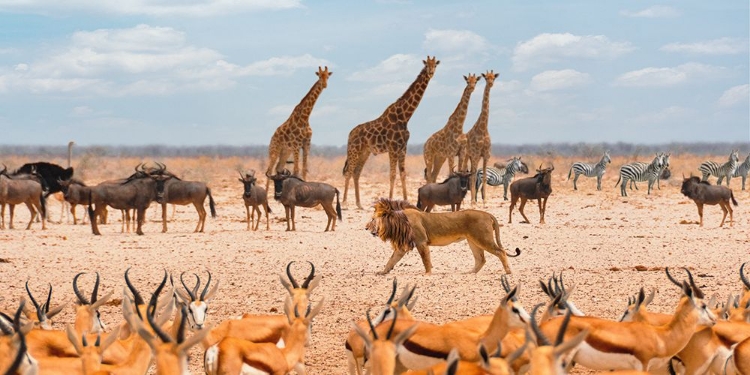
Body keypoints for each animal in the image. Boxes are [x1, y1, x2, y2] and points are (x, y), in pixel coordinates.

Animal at [346, 55, 444, 210]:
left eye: (435, 65)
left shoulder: (403, 147)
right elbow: (392, 174)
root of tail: (350, 134)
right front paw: (390, 199)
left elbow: (403, 173)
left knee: (356, 173)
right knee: (349, 172)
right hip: (354, 150)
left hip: (364, 152)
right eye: (426, 65)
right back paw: (344, 202)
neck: (405, 116)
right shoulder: (392, 147)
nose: (431, 72)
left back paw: (359, 204)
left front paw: (406, 201)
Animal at [366, 197, 524, 276]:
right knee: (481, 259)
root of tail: (488, 214)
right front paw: (382, 272)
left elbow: (425, 259)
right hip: (473, 241)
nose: (366, 228)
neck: (398, 221)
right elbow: (391, 260)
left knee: (500, 252)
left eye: (373, 219)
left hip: (483, 238)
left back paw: (508, 272)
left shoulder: (421, 242)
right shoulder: (403, 247)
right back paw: (470, 273)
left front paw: (428, 274)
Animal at [464, 70, 500, 206]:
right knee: (466, 172)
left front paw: (484, 201)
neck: (483, 128)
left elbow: (484, 176)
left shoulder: (485, 155)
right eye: (486, 78)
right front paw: (473, 201)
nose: (490, 84)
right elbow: (473, 176)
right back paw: (468, 200)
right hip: (467, 155)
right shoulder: (475, 154)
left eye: (494, 78)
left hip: (475, 157)